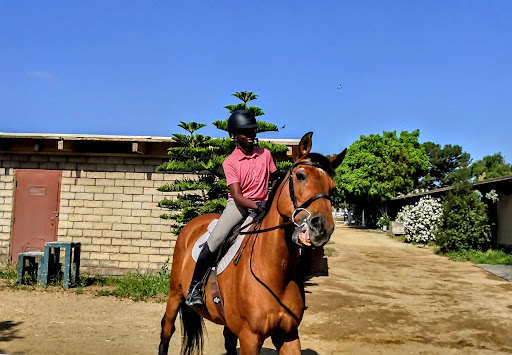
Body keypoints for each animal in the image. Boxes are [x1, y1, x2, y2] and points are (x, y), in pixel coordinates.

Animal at [158, 133, 346, 355]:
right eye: (300, 176)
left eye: (332, 187)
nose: (322, 227)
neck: (274, 273)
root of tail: (193, 224)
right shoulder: (250, 338)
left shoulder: (289, 334)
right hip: (175, 293)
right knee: (167, 328)